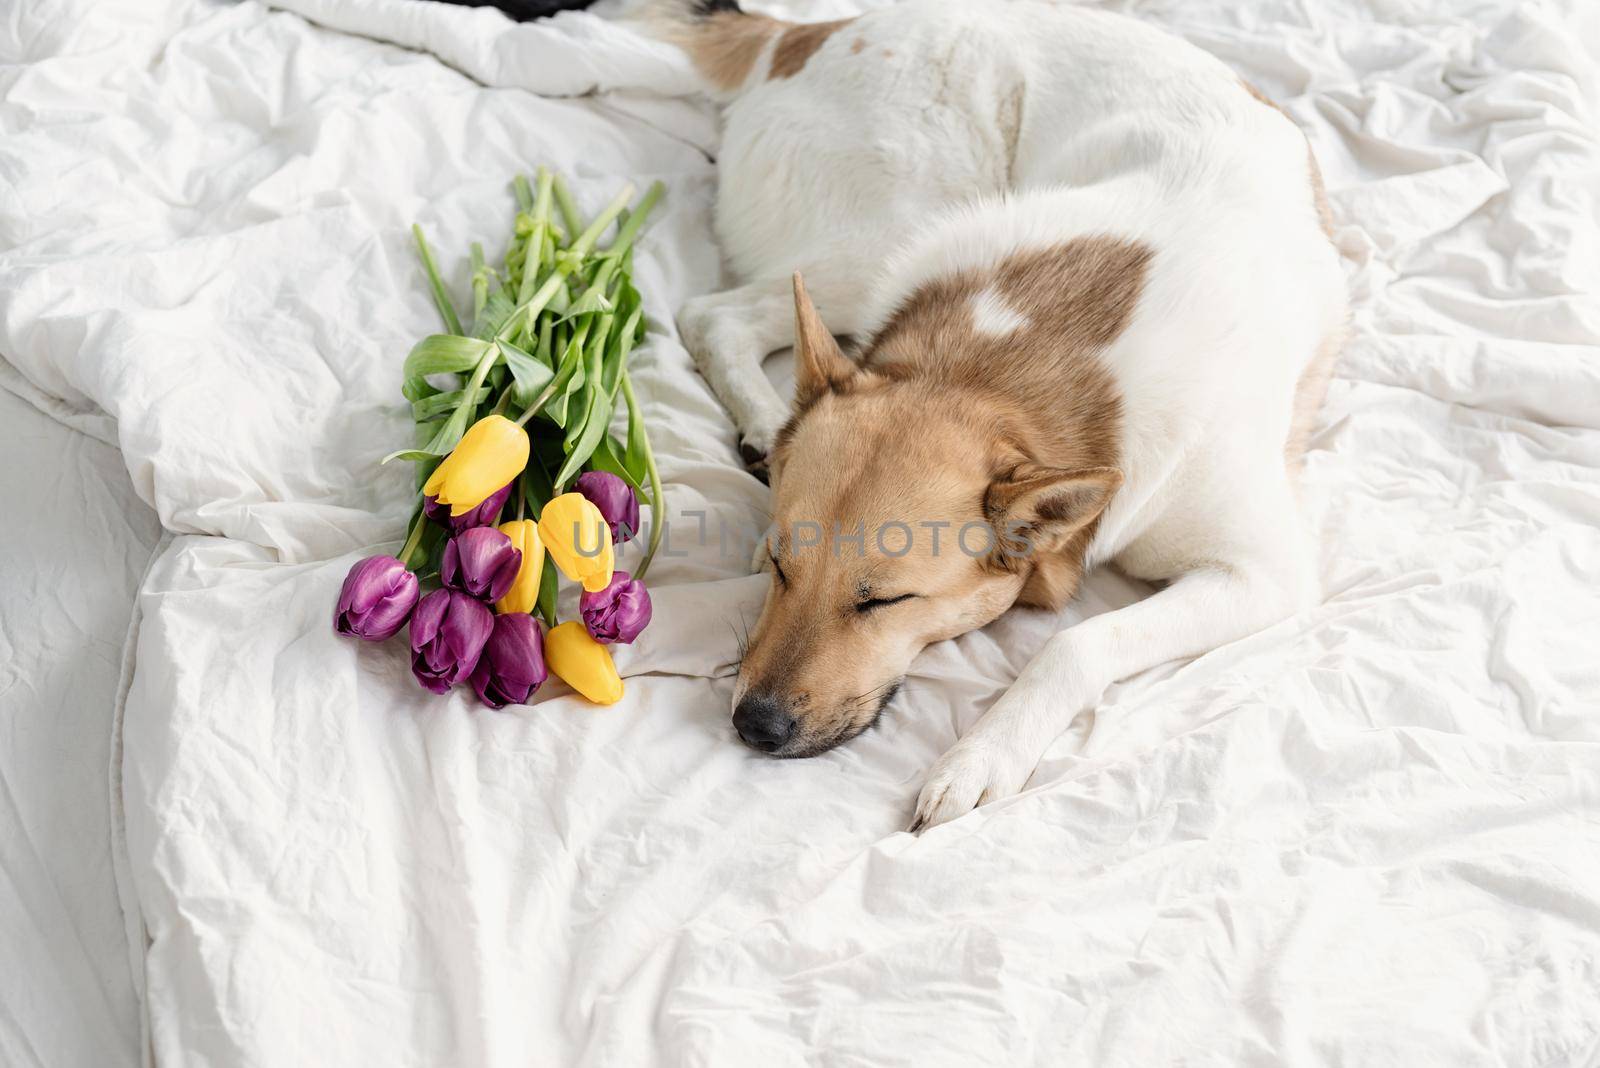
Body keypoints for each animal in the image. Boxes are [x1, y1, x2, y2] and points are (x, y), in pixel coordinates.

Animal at [656, 0, 1344, 831]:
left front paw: (981, 756)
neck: (998, 371)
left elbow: (1076, 643)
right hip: (895, 233)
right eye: (788, 567)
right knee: (713, 314)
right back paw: (769, 428)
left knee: (720, 314)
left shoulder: (1262, 574)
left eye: (885, 601)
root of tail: (804, 30)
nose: (754, 726)